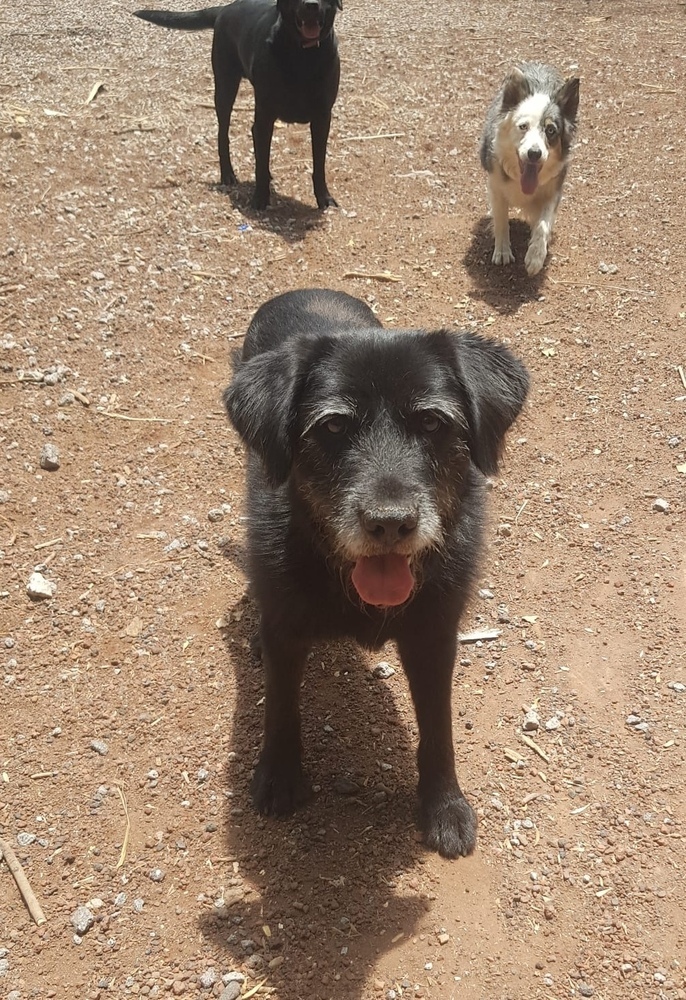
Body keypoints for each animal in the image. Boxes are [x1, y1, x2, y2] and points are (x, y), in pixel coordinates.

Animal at [134, 0, 342, 209]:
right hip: (225, 86)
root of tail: (226, 8)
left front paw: (324, 198)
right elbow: (260, 162)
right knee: (223, 134)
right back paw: (228, 174)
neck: (303, 55)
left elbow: (319, 163)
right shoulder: (265, 113)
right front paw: (260, 199)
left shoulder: (322, 118)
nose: (311, 5)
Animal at [223, 290, 528, 860]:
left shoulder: (434, 636)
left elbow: (438, 725)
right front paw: (278, 776)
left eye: (432, 423)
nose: (390, 523)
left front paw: (444, 806)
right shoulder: (286, 630)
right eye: (332, 426)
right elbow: (280, 705)